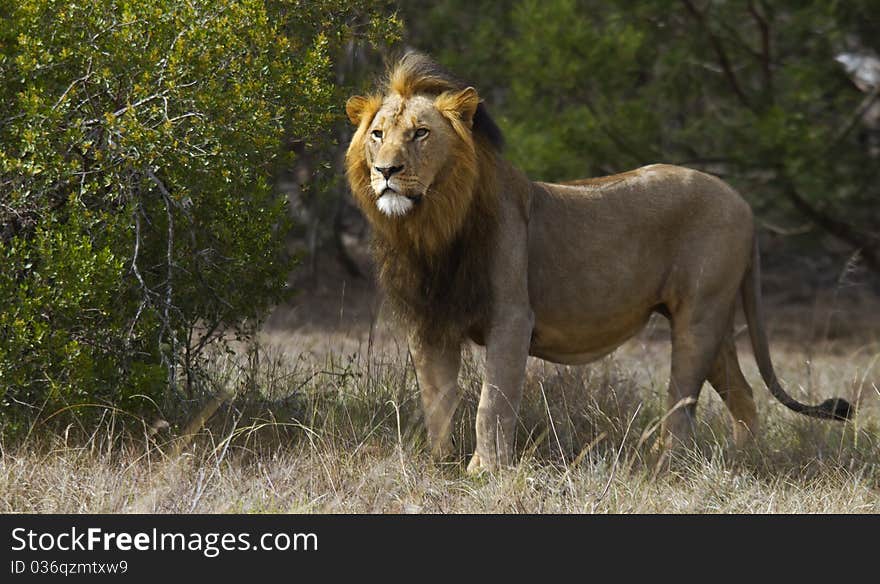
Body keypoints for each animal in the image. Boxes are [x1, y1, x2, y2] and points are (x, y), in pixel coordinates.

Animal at [344, 51, 852, 474]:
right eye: (377, 135)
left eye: (421, 133)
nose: (385, 171)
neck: (429, 229)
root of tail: (742, 201)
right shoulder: (430, 321)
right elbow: (437, 401)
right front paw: (439, 465)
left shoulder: (511, 317)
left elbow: (493, 401)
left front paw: (484, 471)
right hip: (717, 320)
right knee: (743, 396)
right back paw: (740, 460)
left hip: (699, 315)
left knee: (682, 400)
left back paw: (661, 466)